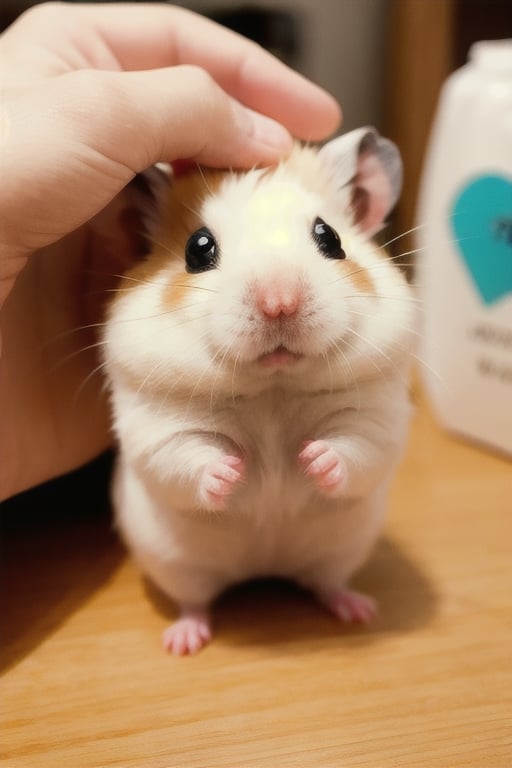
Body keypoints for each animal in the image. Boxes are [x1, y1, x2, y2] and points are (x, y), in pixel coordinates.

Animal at [103, 126, 416, 656]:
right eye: (198, 248)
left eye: (330, 238)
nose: (279, 302)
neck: (274, 387)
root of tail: (265, 568)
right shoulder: (159, 429)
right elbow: (190, 458)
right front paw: (234, 470)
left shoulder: (373, 418)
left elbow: (353, 449)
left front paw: (310, 458)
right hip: (177, 566)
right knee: (195, 601)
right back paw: (182, 642)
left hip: (341, 551)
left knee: (327, 582)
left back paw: (358, 611)